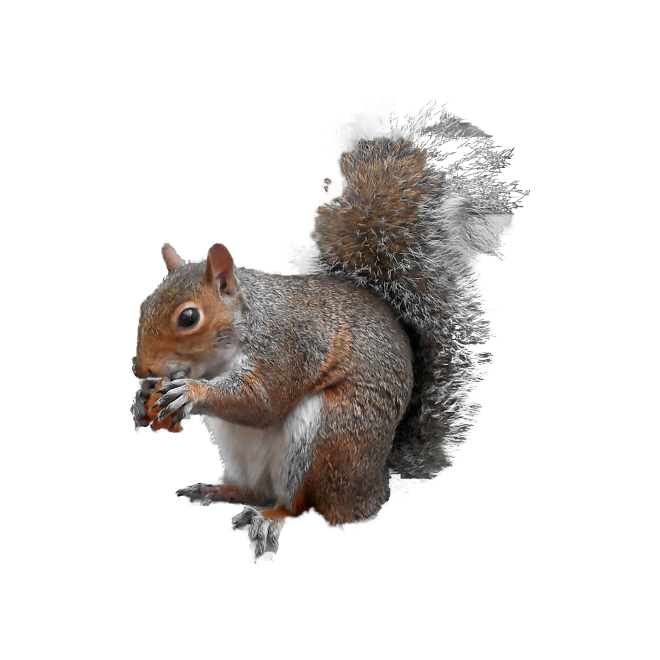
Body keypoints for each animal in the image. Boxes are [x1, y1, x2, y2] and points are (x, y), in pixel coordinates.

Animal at [131, 102, 526, 558]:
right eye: (143, 304)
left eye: (189, 317)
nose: (141, 369)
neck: (245, 326)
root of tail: (375, 485)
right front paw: (143, 398)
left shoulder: (287, 344)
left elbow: (261, 401)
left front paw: (191, 394)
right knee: (256, 491)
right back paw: (220, 490)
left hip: (327, 436)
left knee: (298, 504)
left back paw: (269, 519)